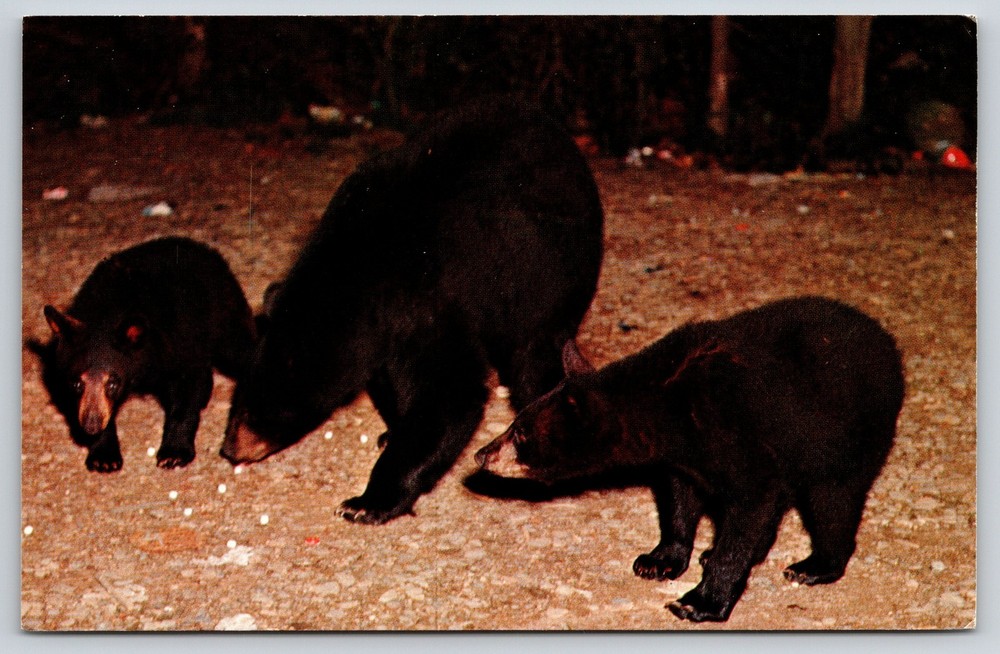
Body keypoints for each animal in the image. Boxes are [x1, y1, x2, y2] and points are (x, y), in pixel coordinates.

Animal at [32, 236, 255, 472]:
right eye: (76, 383)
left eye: (113, 383)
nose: (91, 425)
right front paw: (104, 455)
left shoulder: (179, 340)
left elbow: (186, 390)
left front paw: (174, 453)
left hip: (225, 313)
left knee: (240, 348)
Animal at [220, 97, 604, 525]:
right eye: (239, 401)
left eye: (259, 412)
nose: (230, 449)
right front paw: (393, 432)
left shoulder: (435, 295)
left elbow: (450, 392)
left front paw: (367, 501)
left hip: (550, 275)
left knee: (535, 360)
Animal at [476, 296, 905, 623]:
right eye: (514, 422)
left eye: (520, 433)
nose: (482, 454)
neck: (667, 406)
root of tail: (888, 343)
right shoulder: (684, 456)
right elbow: (679, 498)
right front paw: (660, 560)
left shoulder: (737, 435)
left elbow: (750, 507)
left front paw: (699, 601)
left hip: (848, 435)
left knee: (833, 499)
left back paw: (813, 566)